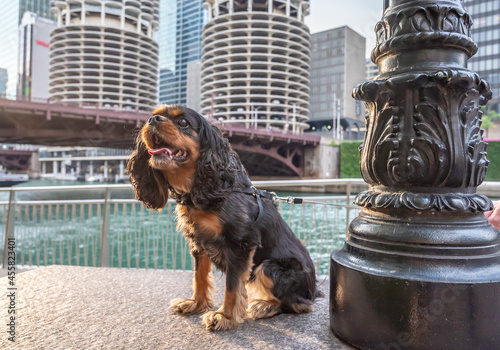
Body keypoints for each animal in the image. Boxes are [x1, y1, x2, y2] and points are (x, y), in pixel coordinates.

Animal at [127, 104, 322, 330]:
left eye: (183, 122)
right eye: (153, 115)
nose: (153, 120)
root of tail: (314, 289)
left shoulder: (240, 244)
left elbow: (232, 285)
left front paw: (224, 316)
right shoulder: (199, 243)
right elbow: (199, 277)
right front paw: (196, 303)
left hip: (270, 267)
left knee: (299, 303)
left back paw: (264, 306)